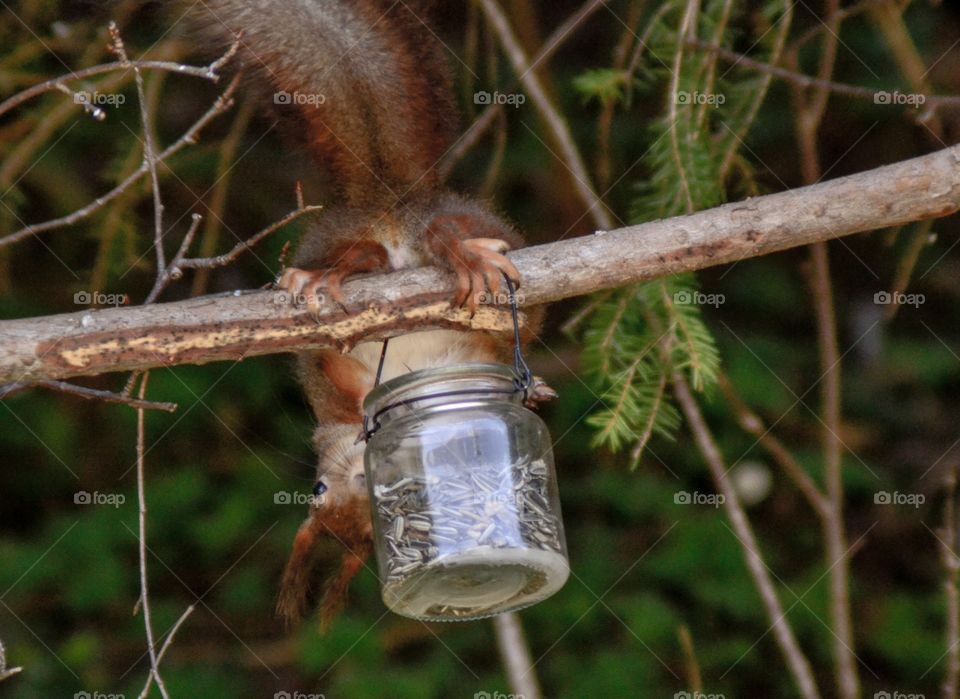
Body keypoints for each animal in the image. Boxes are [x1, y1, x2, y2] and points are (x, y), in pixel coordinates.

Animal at [191, 0, 552, 624]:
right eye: (320, 494)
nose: (361, 463)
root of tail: (390, 207)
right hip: (413, 231)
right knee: (405, 245)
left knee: (414, 246)